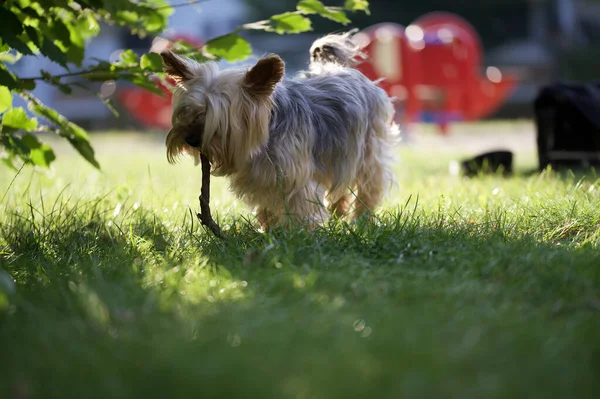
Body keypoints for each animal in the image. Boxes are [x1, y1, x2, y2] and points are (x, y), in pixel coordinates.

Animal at [162, 30, 400, 231]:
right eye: (188, 111)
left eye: (218, 120)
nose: (191, 139)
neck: (265, 134)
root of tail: (339, 69)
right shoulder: (261, 180)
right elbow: (266, 207)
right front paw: (268, 231)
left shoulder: (295, 178)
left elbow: (299, 209)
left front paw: (296, 237)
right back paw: (338, 214)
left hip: (368, 149)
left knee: (369, 186)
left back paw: (362, 220)